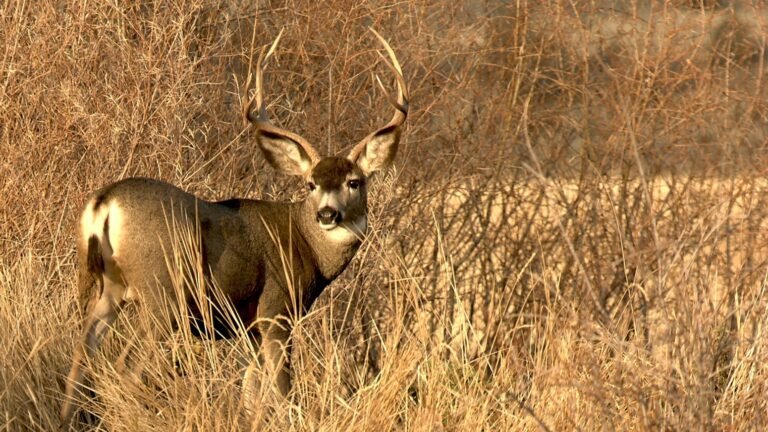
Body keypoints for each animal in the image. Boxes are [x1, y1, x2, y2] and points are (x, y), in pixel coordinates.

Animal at [60, 28, 408, 427]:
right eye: (310, 184)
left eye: (354, 182)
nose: (327, 214)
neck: (307, 248)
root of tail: (105, 201)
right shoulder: (276, 311)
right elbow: (283, 391)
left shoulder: (250, 328)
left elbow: (250, 395)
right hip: (162, 292)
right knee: (123, 367)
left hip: (110, 286)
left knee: (81, 354)